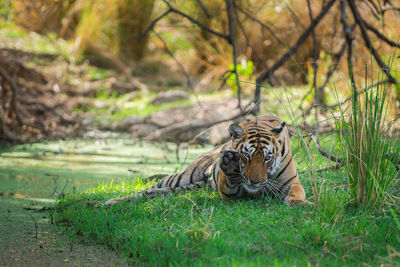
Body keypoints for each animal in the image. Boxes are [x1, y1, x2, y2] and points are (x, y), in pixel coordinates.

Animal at [104, 115, 308, 207]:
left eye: (267, 158)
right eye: (246, 156)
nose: (255, 182)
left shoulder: (291, 182)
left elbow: (298, 192)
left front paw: (300, 203)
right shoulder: (231, 192)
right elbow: (230, 183)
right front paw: (229, 163)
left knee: (152, 192)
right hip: (180, 177)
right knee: (147, 189)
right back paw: (108, 202)